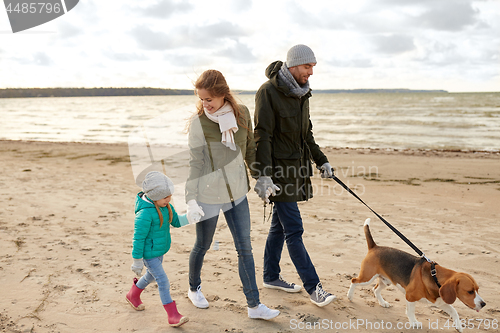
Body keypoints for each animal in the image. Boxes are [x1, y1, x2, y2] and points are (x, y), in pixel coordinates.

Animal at [348, 217, 484, 330]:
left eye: (477, 289)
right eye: (470, 291)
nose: (483, 304)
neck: (435, 276)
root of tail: (375, 247)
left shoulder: (440, 302)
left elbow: (454, 311)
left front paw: (458, 326)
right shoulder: (410, 296)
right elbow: (411, 311)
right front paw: (414, 322)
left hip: (386, 281)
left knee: (375, 289)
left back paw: (383, 303)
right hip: (367, 277)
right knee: (354, 281)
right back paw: (350, 296)